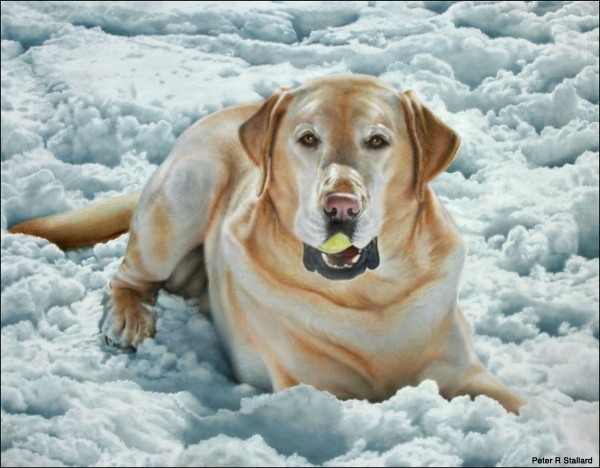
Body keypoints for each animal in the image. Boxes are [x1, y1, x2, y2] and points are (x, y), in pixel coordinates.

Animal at [9, 76, 524, 414]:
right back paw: (130, 320)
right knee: (125, 276)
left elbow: (520, 404)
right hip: (187, 190)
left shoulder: (467, 373)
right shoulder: (319, 389)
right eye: (308, 139)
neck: (370, 299)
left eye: (378, 141)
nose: (341, 207)